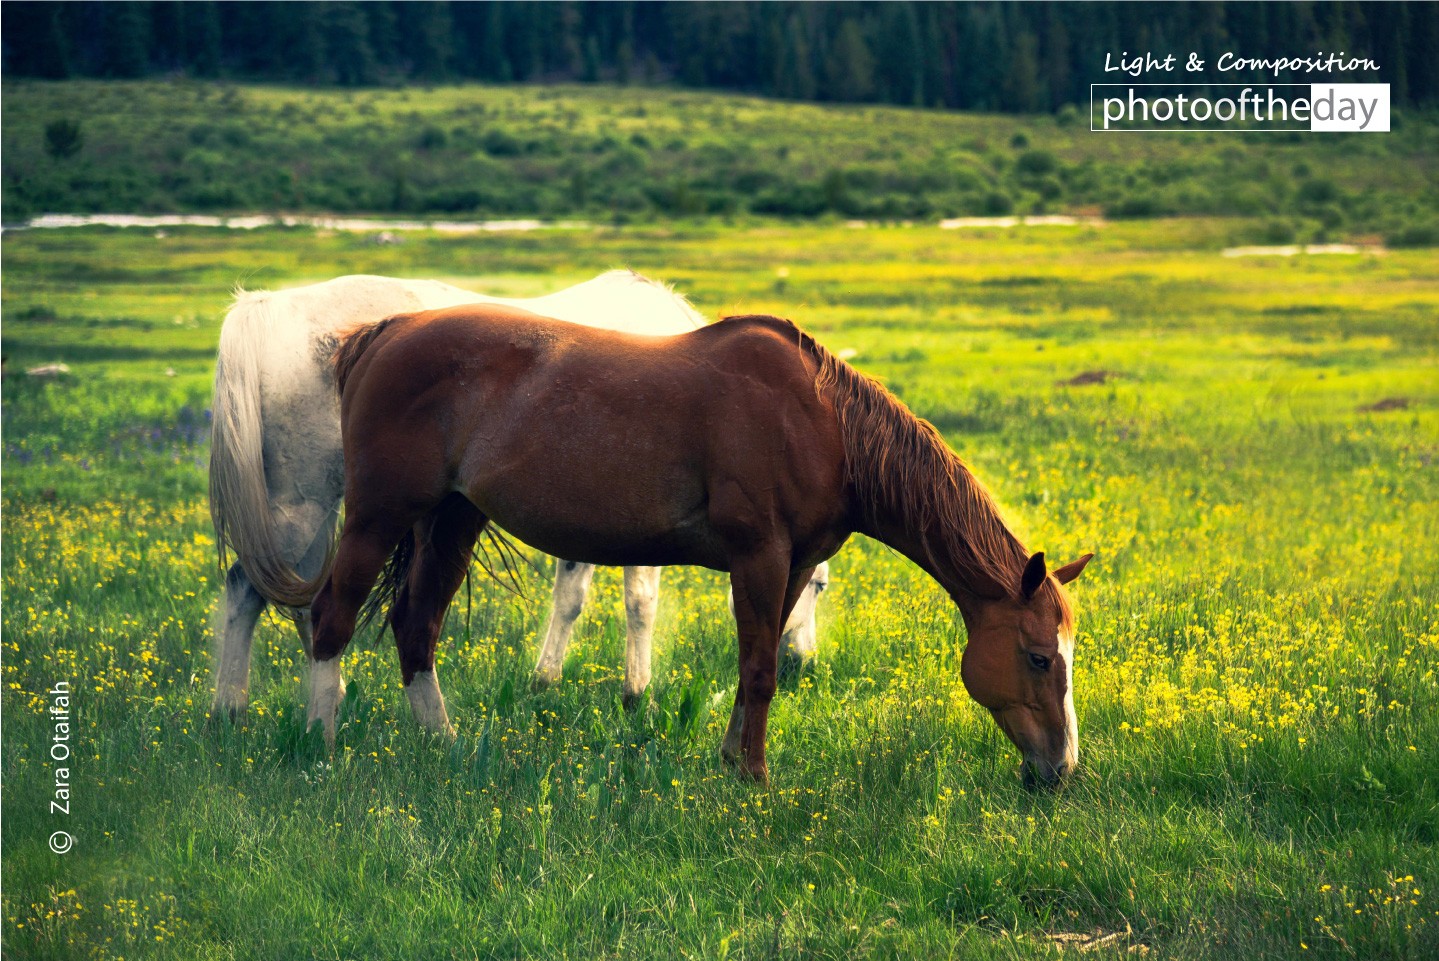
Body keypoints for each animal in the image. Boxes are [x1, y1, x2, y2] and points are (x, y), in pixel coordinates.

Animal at [208, 266, 828, 725]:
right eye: (816, 586)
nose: (803, 665)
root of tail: (265, 308)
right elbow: (640, 604)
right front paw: (637, 695)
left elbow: (571, 597)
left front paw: (545, 680)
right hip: (304, 507)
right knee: (247, 589)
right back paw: (233, 711)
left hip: (315, 510)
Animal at [277, 307, 1087, 788]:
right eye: (1039, 658)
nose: (1061, 768)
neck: (822, 421)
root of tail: (382, 333)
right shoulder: (758, 558)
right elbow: (760, 669)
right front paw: (754, 778)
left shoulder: (789, 565)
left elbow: (756, 664)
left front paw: (732, 761)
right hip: (378, 517)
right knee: (332, 619)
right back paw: (320, 744)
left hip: (451, 520)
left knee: (417, 628)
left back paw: (440, 743)